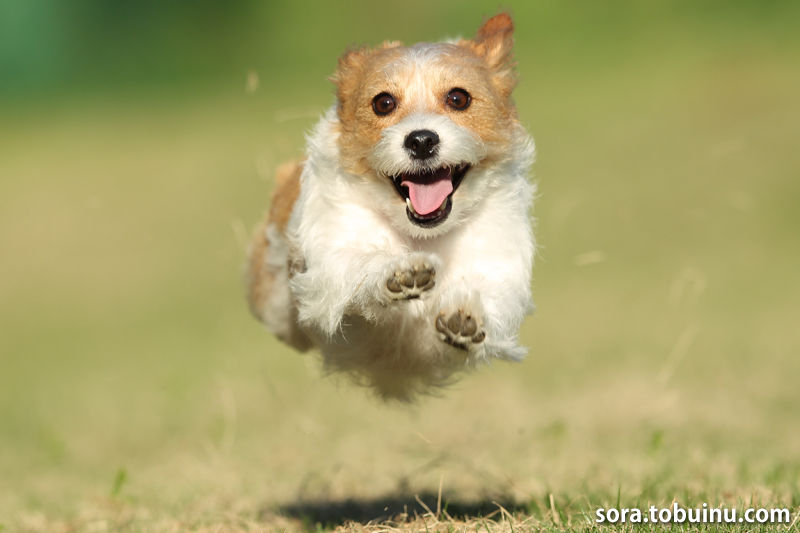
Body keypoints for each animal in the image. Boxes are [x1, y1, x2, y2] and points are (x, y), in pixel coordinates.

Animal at [248, 12, 536, 400]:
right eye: (383, 103)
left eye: (458, 98)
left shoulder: (497, 255)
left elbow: (492, 292)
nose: (421, 140)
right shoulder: (328, 256)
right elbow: (353, 262)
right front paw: (398, 272)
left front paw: (466, 315)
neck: (422, 235)